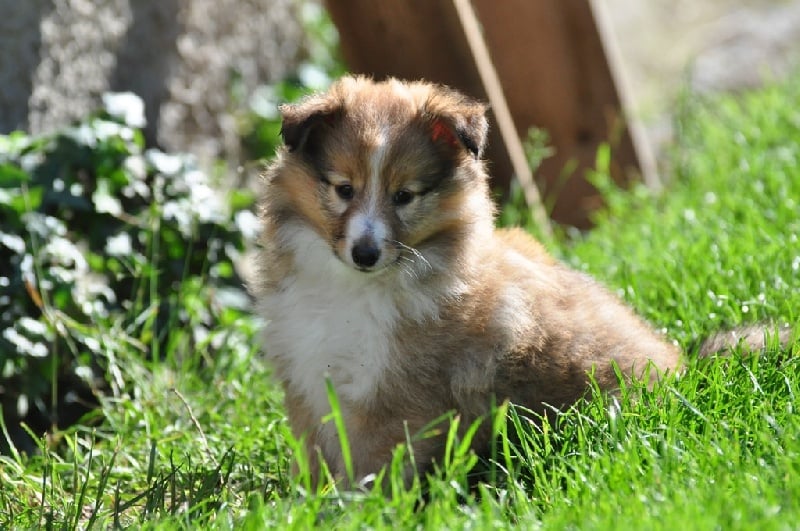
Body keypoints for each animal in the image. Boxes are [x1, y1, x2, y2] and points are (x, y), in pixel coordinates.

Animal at [256, 76, 788, 490]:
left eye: (405, 196)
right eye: (343, 189)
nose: (365, 254)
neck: (355, 289)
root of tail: (684, 370)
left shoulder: (395, 400)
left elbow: (370, 470)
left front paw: (355, 511)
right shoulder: (306, 382)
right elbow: (315, 460)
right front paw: (306, 504)